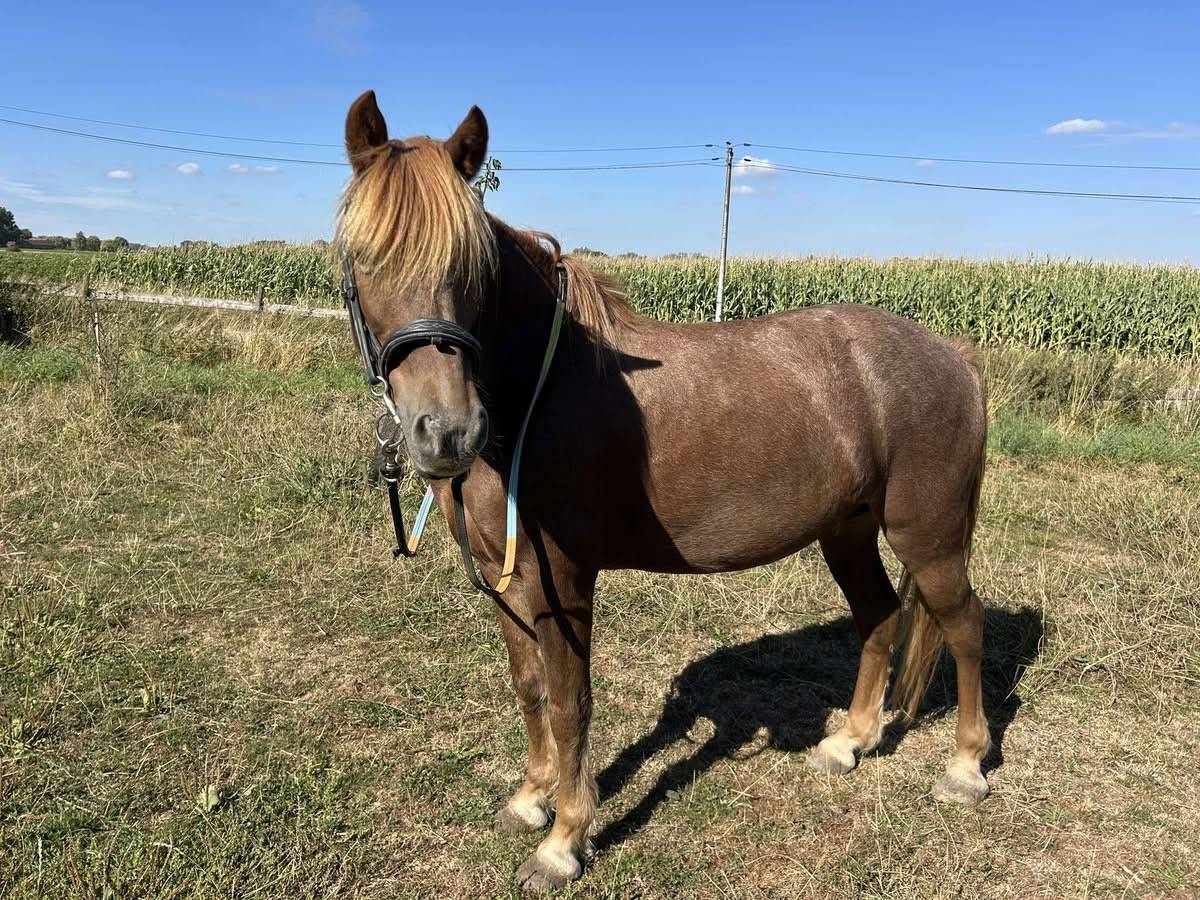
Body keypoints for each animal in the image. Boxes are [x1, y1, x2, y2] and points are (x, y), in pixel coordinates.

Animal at [336, 90, 991, 893]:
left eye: (473, 267)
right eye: (364, 257)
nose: (447, 432)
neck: (537, 392)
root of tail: (952, 355)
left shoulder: (564, 582)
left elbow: (570, 702)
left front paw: (564, 840)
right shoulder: (503, 578)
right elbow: (528, 687)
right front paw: (530, 799)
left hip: (927, 537)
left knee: (963, 626)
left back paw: (965, 767)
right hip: (847, 531)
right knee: (878, 616)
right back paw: (849, 743)